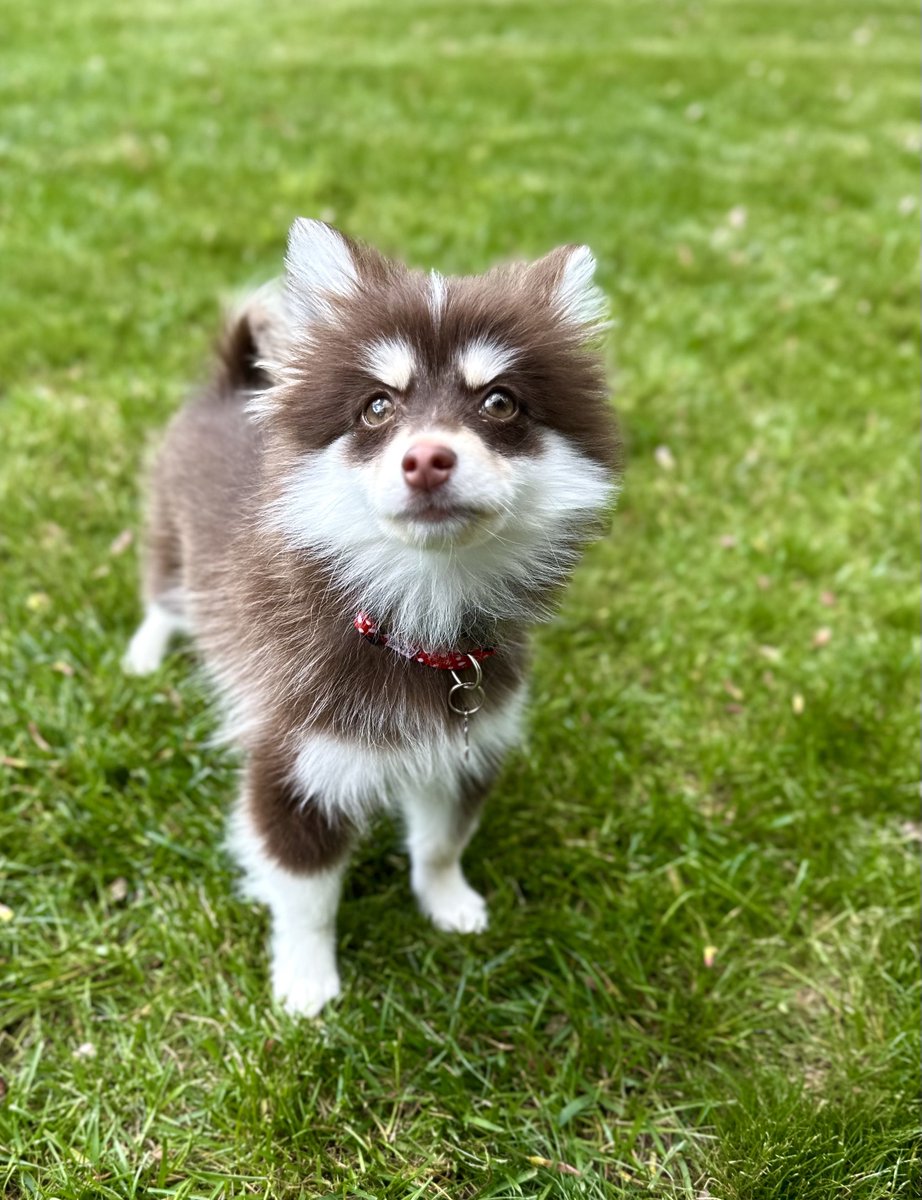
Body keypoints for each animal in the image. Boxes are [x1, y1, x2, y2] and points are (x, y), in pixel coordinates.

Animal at [124, 220, 619, 1017]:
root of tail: (236, 380)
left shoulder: (466, 750)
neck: (414, 623)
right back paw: (143, 654)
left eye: (500, 404)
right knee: (163, 599)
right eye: (378, 408)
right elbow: (306, 896)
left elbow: (440, 844)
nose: (427, 458)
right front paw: (306, 982)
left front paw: (448, 903)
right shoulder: (295, 766)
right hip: (171, 539)